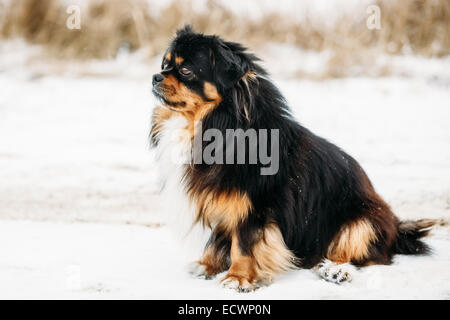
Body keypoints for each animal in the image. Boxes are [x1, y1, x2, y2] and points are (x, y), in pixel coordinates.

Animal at [151, 26, 436, 292]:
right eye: (165, 64)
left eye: (186, 71)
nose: (155, 76)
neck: (216, 123)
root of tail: (396, 226)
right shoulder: (223, 199)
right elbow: (217, 239)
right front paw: (207, 265)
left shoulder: (254, 205)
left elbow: (243, 243)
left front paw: (238, 278)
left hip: (363, 222)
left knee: (357, 255)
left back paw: (335, 271)